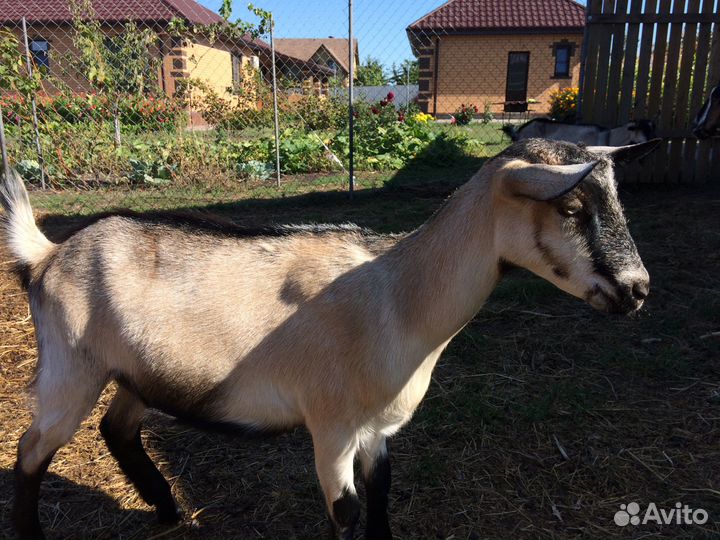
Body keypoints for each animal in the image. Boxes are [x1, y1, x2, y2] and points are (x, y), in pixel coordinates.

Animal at [1, 138, 660, 540]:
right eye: (571, 208)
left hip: (138, 373)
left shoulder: (376, 427)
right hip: (70, 367)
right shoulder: (332, 425)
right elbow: (345, 510)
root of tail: (48, 255)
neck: (398, 297)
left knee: (116, 429)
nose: (637, 290)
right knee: (31, 451)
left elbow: (382, 492)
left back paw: (168, 510)